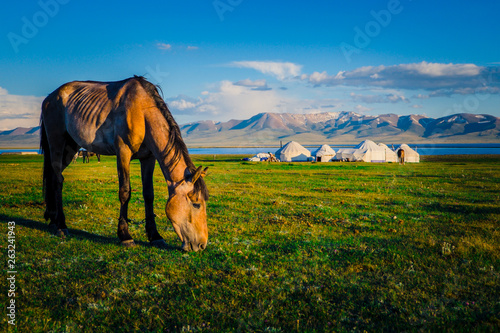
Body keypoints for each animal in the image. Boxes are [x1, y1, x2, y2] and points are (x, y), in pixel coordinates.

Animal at [40, 75, 209, 250]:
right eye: (196, 204)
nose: (202, 244)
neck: (142, 112)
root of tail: (49, 98)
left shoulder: (148, 158)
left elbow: (149, 194)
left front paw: (155, 236)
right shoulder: (123, 152)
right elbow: (125, 192)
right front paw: (125, 235)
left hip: (71, 147)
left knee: (53, 177)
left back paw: (52, 220)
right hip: (57, 143)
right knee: (58, 180)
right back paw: (61, 225)